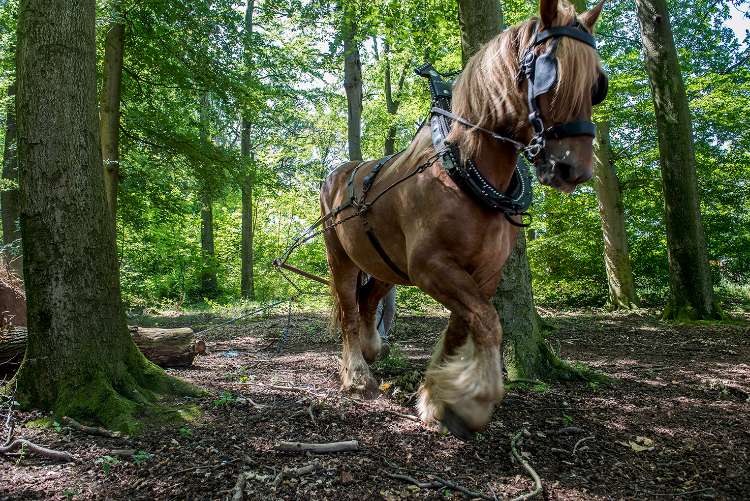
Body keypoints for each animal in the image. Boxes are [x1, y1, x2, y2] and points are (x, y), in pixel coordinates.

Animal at [320, 0, 606, 438]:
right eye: (548, 74)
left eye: (596, 84)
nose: (573, 169)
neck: (463, 169)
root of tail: (338, 173)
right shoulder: (429, 266)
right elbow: (488, 322)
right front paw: (472, 401)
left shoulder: (482, 273)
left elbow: (462, 326)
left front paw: (437, 397)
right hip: (341, 257)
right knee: (350, 309)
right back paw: (356, 375)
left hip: (385, 262)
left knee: (368, 301)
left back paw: (372, 350)